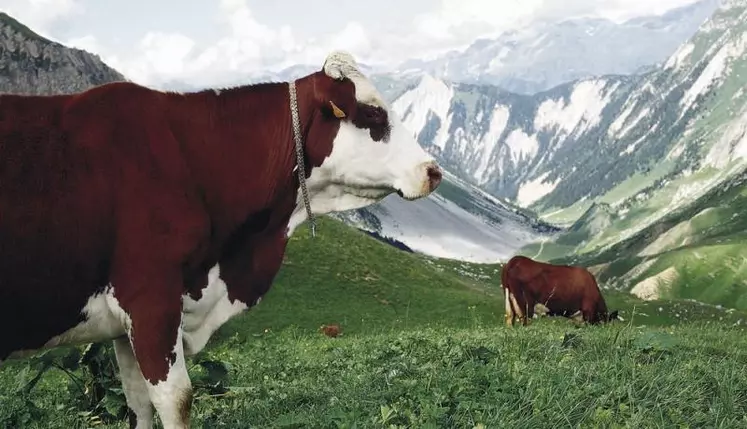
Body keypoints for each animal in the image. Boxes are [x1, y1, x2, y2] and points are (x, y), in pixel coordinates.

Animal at [0, 51, 444, 428]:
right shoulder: (151, 297)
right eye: (372, 113)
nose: (433, 171)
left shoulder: (124, 322)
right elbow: (176, 400)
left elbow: (137, 402)